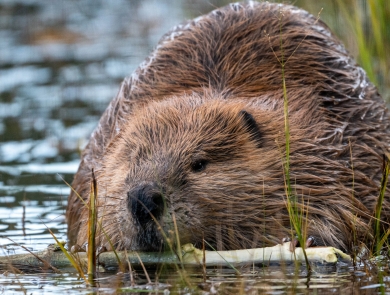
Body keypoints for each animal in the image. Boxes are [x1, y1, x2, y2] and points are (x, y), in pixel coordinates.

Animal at [66, 1, 390, 254]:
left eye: (199, 164)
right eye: (132, 158)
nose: (143, 200)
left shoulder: (331, 143)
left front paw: (305, 240)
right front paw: (101, 245)